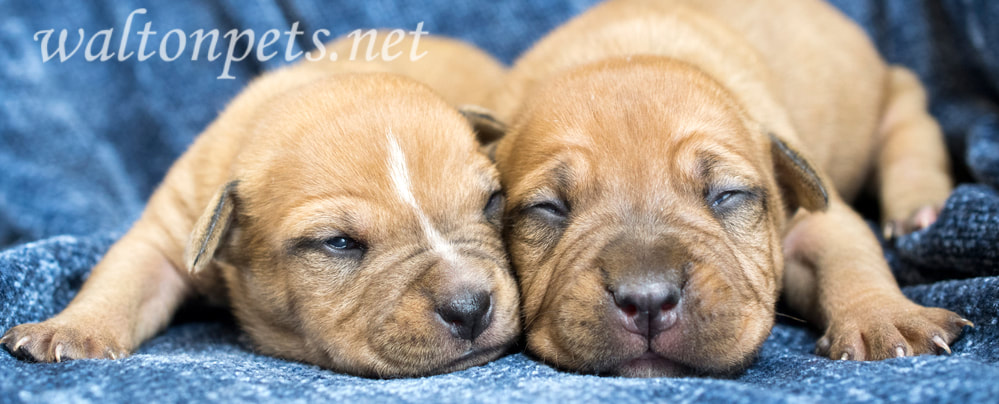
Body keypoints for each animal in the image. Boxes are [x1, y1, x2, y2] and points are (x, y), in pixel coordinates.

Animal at [1, 33, 524, 378]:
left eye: (491, 202)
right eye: (339, 243)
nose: (470, 307)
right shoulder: (166, 235)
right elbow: (121, 281)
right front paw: (67, 330)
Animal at [492, 0, 976, 378]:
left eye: (726, 195)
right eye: (548, 207)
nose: (647, 301)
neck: (630, 52)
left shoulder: (814, 215)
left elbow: (851, 259)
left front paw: (886, 318)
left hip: (897, 93)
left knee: (910, 136)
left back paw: (918, 207)